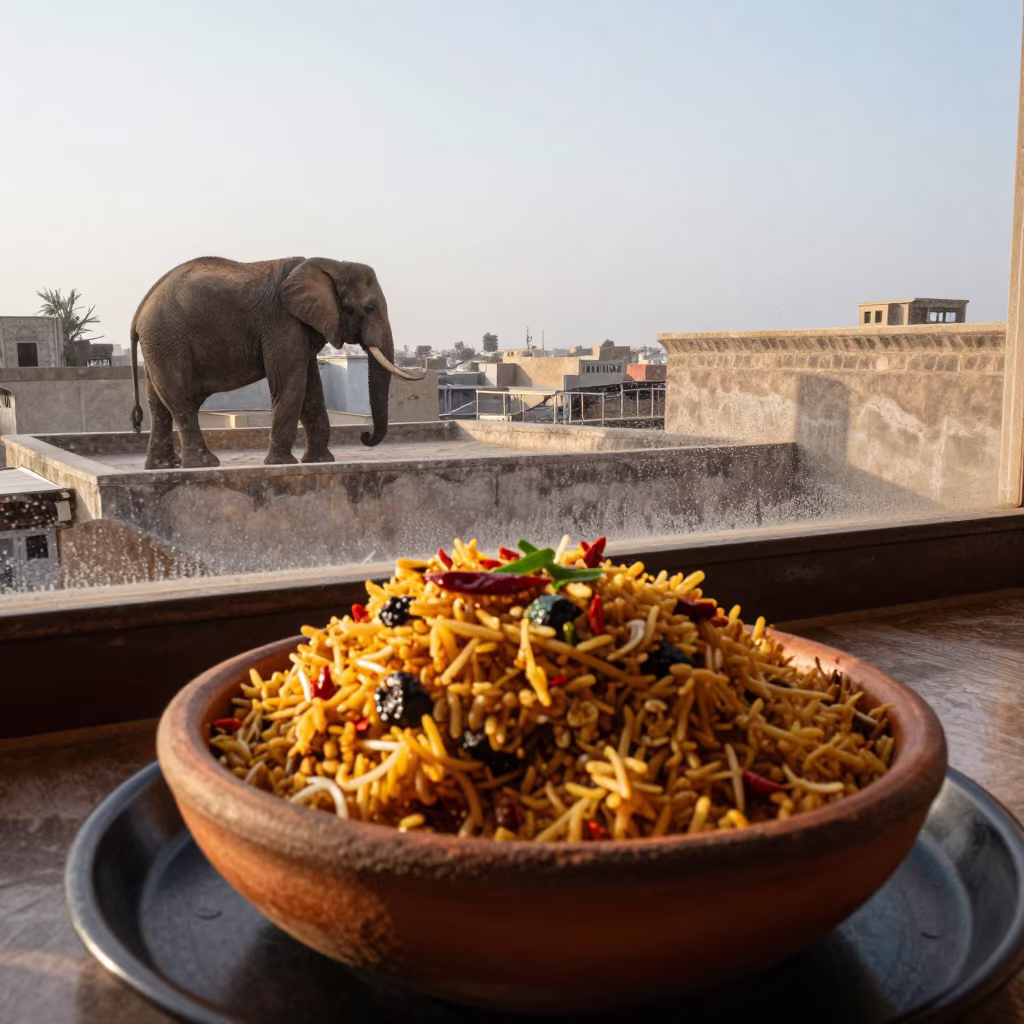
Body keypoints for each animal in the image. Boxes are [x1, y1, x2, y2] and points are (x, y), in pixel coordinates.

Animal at [128, 256, 425, 469]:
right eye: (370, 308)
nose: (364, 436)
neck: (330, 265)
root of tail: (139, 310)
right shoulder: (282, 323)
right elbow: (290, 383)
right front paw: (284, 464)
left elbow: (312, 390)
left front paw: (319, 462)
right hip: (168, 341)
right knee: (181, 402)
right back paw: (204, 464)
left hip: (158, 346)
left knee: (159, 405)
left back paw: (163, 466)